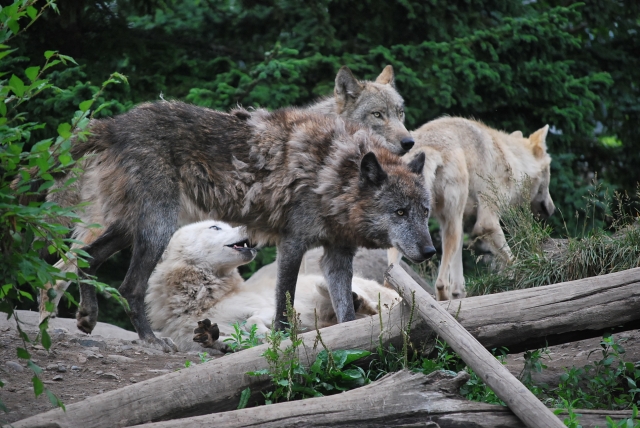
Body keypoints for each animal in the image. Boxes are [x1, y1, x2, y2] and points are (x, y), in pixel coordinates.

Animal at [145, 221, 400, 352]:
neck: (203, 298)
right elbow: (226, 340)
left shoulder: (267, 306)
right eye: (215, 227)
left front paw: (272, 333)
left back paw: (356, 301)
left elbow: (254, 320)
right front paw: (209, 334)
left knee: (369, 306)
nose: (247, 225)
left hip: (331, 284)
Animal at [388, 117, 552, 300]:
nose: (552, 209)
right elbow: (512, 260)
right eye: (549, 171)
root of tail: (429, 146)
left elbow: (458, 273)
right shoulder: (487, 222)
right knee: (440, 283)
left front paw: (459, 293)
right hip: (449, 223)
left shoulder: (460, 222)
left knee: (389, 277)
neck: (511, 160)